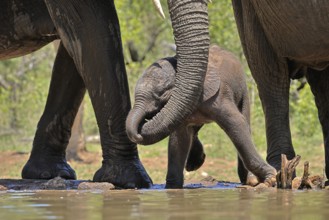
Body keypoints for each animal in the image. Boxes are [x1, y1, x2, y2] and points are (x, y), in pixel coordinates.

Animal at [127, 45, 276, 189]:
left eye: (161, 94)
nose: (138, 132)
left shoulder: (218, 96)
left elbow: (236, 122)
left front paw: (270, 179)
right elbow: (179, 138)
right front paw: (172, 188)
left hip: (242, 91)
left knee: (244, 119)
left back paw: (250, 180)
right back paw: (194, 163)